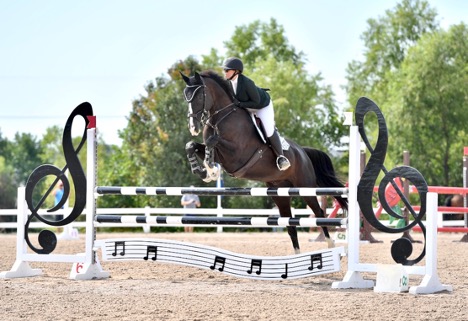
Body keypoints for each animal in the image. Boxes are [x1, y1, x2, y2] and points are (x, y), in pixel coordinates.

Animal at [179, 70, 348, 252]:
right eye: (186, 97)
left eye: (199, 96)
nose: (193, 127)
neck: (221, 117)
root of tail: (303, 152)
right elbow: (191, 145)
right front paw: (203, 171)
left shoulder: (237, 155)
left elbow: (213, 141)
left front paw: (210, 169)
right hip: (280, 193)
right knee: (290, 223)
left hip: (305, 188)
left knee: (318, 213)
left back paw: (330, 244)